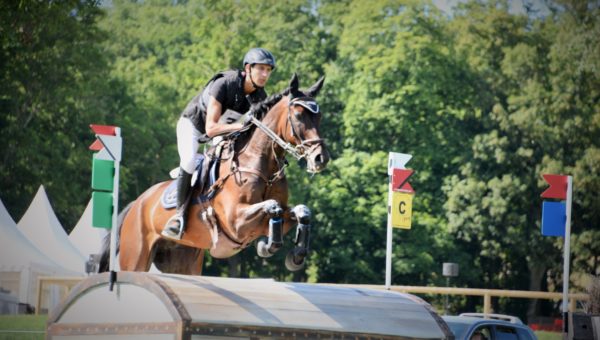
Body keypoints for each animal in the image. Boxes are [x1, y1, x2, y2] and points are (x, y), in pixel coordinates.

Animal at [100, 73, 330, 274]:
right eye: (298, 115)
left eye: (319, 116)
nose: (321, 158)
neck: (261, 164)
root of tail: (137, 204)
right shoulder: (236, 221)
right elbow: (272, 207)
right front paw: (268, 247)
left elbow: (302, 211)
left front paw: (296, 255)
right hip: (136, 257)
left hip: (182, 261)